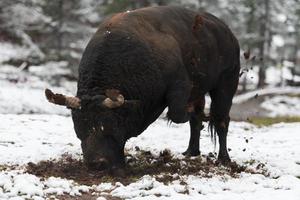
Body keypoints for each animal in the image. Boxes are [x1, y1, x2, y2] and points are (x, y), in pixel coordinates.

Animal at [45, 6, 240, 171]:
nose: (96, 164)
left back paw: (223, 158)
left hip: (226, 85)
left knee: (221, 120)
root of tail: (226, 31)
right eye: (79, 128)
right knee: (198, 121)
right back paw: (191, 152)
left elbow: (178, 114)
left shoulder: (180, 85)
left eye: (108, 125)